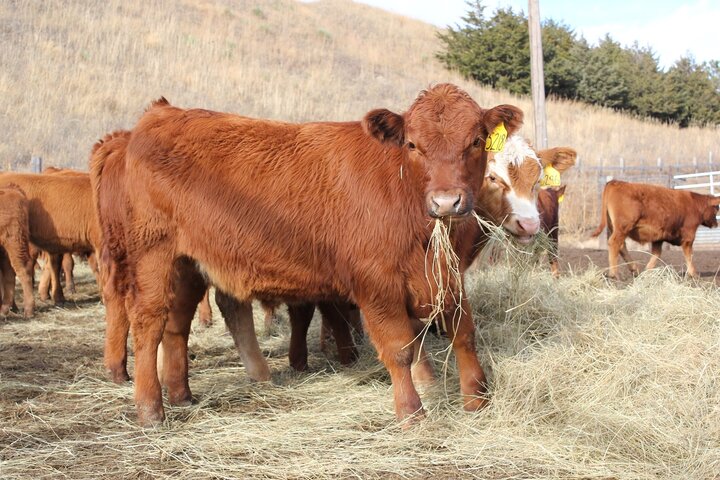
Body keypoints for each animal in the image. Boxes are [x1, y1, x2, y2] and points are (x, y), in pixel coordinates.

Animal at [592, 179, 720, 278]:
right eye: (716, 208)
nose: (715, 223)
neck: (694, 204)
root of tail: (616, 182)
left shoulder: (659, 238)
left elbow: (656, 254)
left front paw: (647, 271)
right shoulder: (688, 237)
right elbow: (689, 256)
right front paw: (693, 274)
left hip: (615, 228)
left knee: (621, 246)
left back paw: (634, 269)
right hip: (622, 228)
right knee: (614, 243)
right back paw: (614, 273)